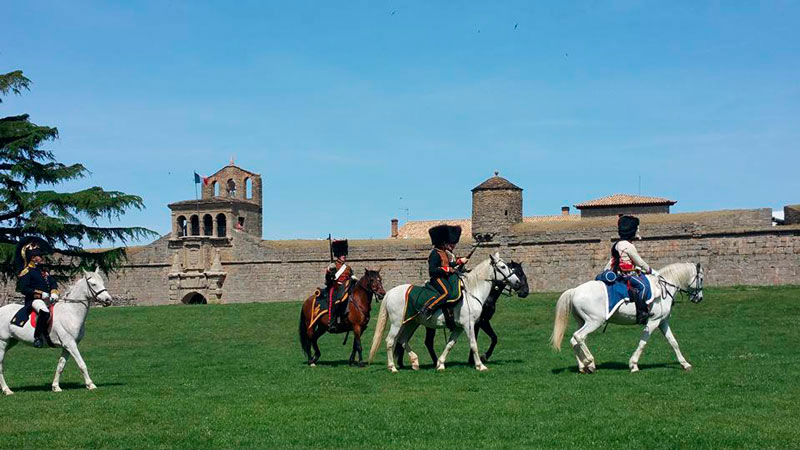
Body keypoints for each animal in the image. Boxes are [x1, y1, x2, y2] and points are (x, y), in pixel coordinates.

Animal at [0, 268, 112, 396]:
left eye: (102, 282)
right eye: (93, 284)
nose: (108, 300)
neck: (70, 312)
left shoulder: (67, 346)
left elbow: (60, 366)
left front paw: (56, 386)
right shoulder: (70, 344)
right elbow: (82, 364)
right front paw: (91, 384)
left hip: (10, 342)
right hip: (3, 343)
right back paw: (7, 390)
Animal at [368, 253, 524, 372]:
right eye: (503, 267)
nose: (518, 283)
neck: (472, 291)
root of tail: (390, 293)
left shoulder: (459, 327)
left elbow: (449, 344)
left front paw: (440, 364)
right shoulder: (469, 325)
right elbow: (473, 344)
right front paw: (480, 365)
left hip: (410, 323)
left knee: (402, 340)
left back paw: (414, 361)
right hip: (397, 323)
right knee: (390, 341)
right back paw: (393, 367)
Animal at [552, 262, 708, 374]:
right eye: (701, 278)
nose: (699, 298)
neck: (664, 287)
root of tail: (575, 290)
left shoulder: (663, 322)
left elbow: (673, 342)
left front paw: (685, 364)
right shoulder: (653, 322)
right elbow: (643, 343)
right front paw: (633, 365)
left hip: (582, 322)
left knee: (575, 340)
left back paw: (584, 366)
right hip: (594, 322)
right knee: (579, 337)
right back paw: (589, 361)